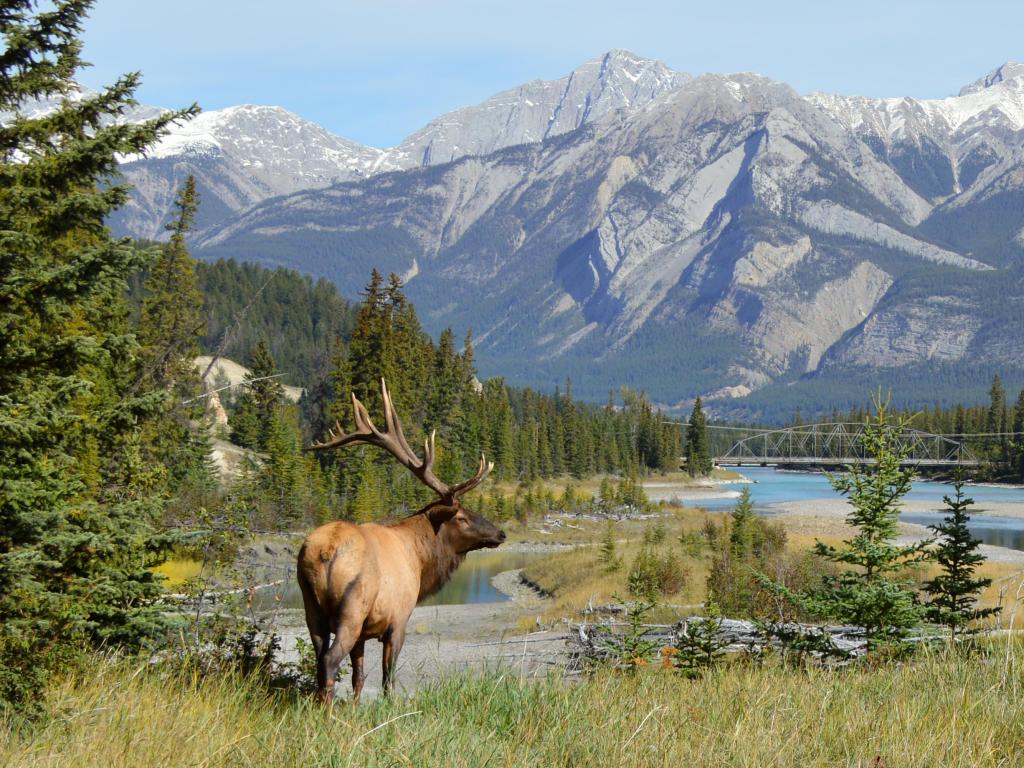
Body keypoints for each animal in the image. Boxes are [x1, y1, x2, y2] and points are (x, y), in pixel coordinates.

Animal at [296, 378, 503, 704]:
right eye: (462, 517)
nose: (500, 533)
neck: (420, 559)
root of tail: (324, 551)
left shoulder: (364, 633)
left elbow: (358, 677)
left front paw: (355, 709)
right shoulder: (398, 620)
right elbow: (387, 679)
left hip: (311, 607)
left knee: (319, 659)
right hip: (351, 608)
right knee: (329, 661)